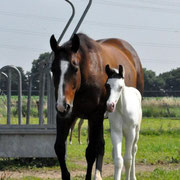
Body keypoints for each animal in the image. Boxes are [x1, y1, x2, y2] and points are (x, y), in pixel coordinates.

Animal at [49, 32, 143, 180]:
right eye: (53, 69)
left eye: (75, 68)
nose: (62, 105)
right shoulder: (66, 116)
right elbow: (59, 147)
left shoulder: (95, 116)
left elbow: (91, 151)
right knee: (102, 144)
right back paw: (98, 174)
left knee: (130, 148)